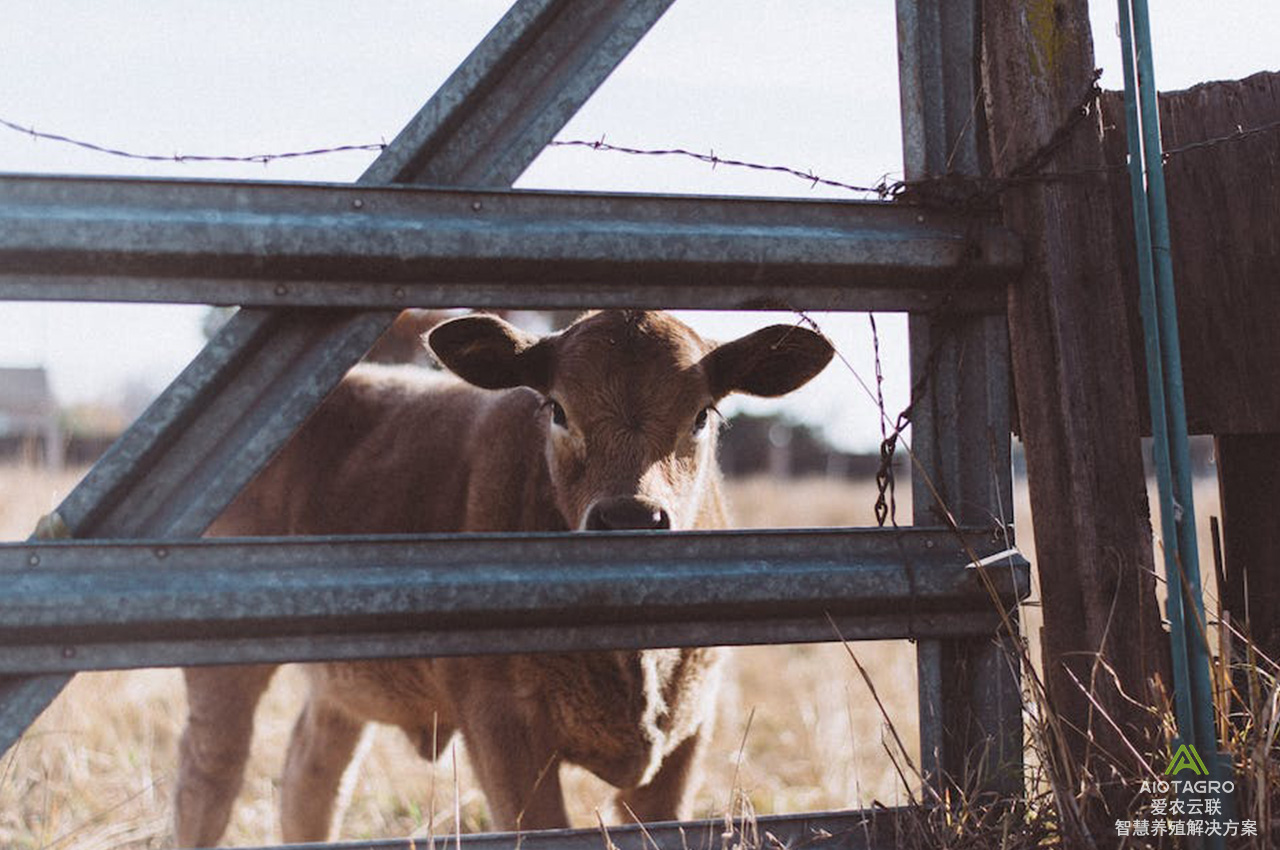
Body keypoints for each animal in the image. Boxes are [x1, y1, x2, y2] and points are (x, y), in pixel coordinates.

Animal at [172, 311, 829, 844]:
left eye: (700, 415)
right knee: (209, 779)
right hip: (224, 674)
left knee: (310, 777)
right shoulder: (501, 727)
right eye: (558, 409)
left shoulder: (686, 734)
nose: (630, 519)